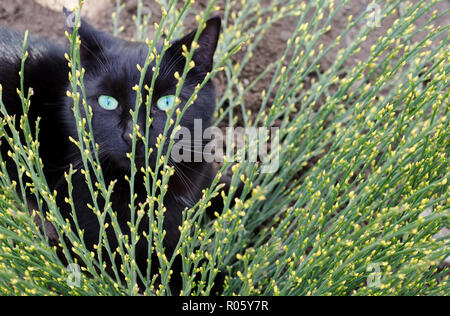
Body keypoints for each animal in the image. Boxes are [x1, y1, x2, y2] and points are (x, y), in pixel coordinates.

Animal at [0, 10, 232, 296]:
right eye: (108, 102)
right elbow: (160, 263)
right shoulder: (101, 240)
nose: (133, 135)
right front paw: (211, 277)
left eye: (166, 102)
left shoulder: (202, 176)